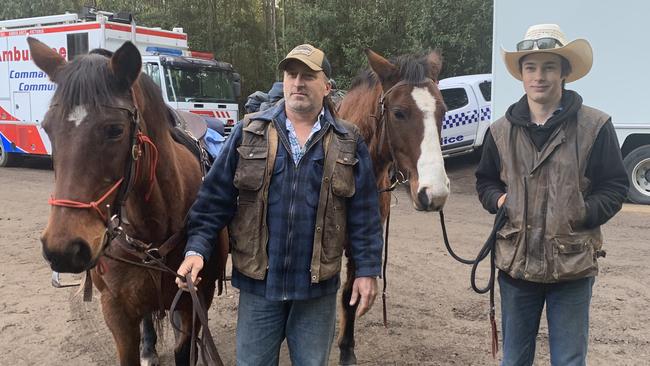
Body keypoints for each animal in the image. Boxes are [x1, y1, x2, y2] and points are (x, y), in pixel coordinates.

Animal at [31, 38, 228, 366]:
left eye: (115, 130)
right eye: (47, 127)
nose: (64, 249)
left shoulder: (196, 298)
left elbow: (184, 349)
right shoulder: (117, 312)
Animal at [336, 48, 448, 364]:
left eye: (443, 112)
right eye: (399, 113)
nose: (434, 193)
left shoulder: (362, 242)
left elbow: (350, 294)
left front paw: (346, 348)